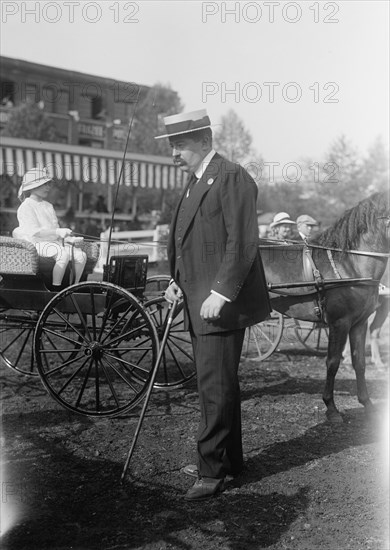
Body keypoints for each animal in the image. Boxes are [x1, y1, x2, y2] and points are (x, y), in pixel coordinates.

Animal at [258, 192, 390, 424]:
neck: (350, 264)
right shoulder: (339, 323)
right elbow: (332, 362)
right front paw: (331, 408)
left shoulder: (359, 323)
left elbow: (359, 362)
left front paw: (367, 403)